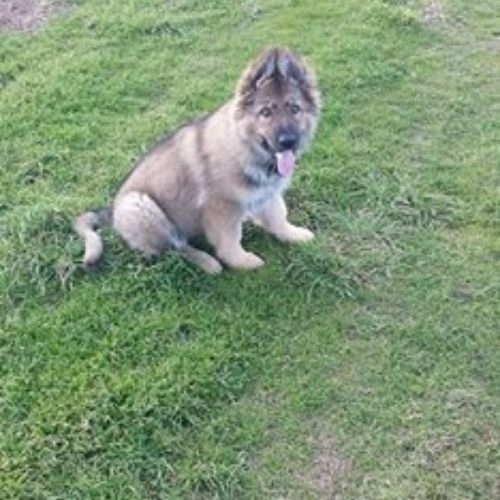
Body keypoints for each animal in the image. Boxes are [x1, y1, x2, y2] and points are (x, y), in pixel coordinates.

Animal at [75, 47, 321, 273]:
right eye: (266, 112)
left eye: (295, 109)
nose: (288, 142)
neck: (246, 147)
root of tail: (113, 211)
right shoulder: (221, 207)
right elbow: (230, 240)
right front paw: (241, 262)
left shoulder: (266, 192)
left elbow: (278, 216)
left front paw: (292, 234)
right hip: (139, 205)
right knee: (175, 247)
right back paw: (207, 262)